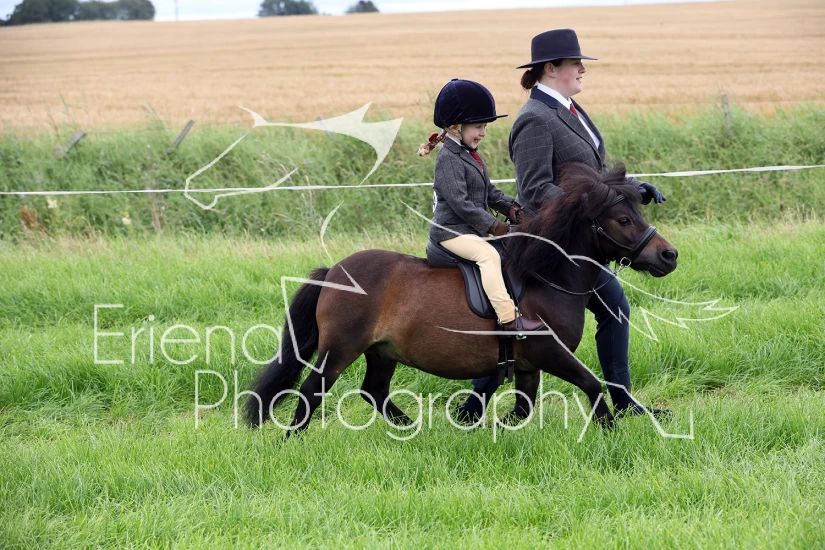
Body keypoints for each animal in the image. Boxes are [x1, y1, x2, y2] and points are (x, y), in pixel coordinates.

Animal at [245, 163, 678, 433]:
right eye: (623, 220)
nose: (668, 256)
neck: (547, 277)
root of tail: (333, 271)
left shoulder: (527, 365)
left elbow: (523, 407)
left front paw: (490, 427)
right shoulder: (550, 352)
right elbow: (591, 384)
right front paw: (611, 431)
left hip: (382, 351)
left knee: (375, 391)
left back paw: (413, 429)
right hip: (339, 349)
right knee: (311, 391)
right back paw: (290, 440)